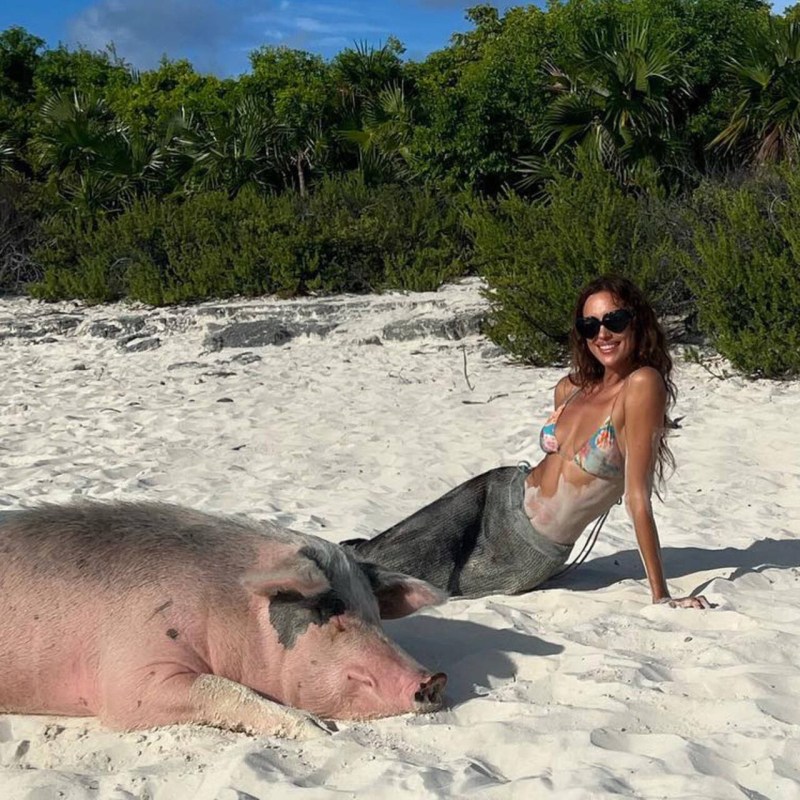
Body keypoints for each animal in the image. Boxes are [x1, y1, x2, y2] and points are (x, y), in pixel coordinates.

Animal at [0, 501, 447, 739]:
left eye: (374, 613)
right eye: (330, 609)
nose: (434, 678)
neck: (225, 606)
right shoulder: (130, 675)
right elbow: (223, 687)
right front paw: (317, 730)